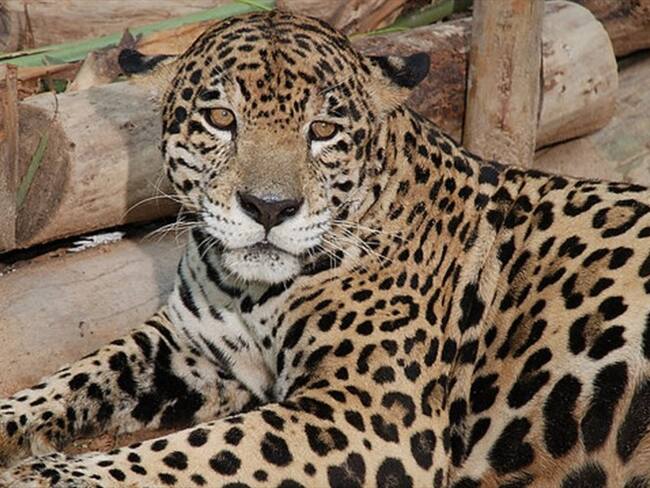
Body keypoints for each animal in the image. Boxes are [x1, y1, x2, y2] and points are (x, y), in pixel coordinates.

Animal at [2, 9, 650, 488]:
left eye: (323, 131)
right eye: (220, 119)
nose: (268, 208)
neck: (250, 292)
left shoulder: (371, 416)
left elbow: (196, 450)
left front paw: (48, 474)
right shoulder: (188, 346)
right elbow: (73, 378)